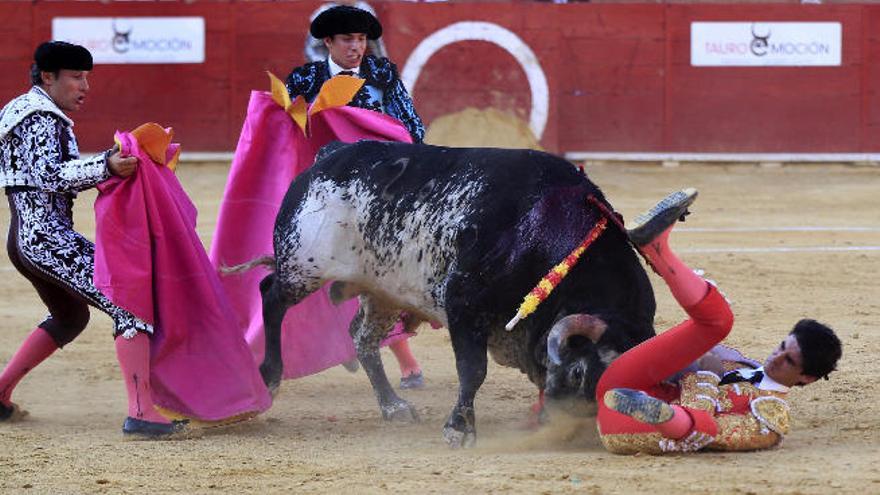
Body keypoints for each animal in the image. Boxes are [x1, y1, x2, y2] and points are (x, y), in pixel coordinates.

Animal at [258, 140, 656, 450]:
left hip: (382, 291)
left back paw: (393, 406)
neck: (544, 228)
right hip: (303, 265)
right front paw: (459, 430)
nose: (566, 428)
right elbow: (472, 369)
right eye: (577, 372)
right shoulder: (463, 303)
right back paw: (270, 377)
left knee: (361, 337)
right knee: (271, 297)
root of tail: (329, 155)